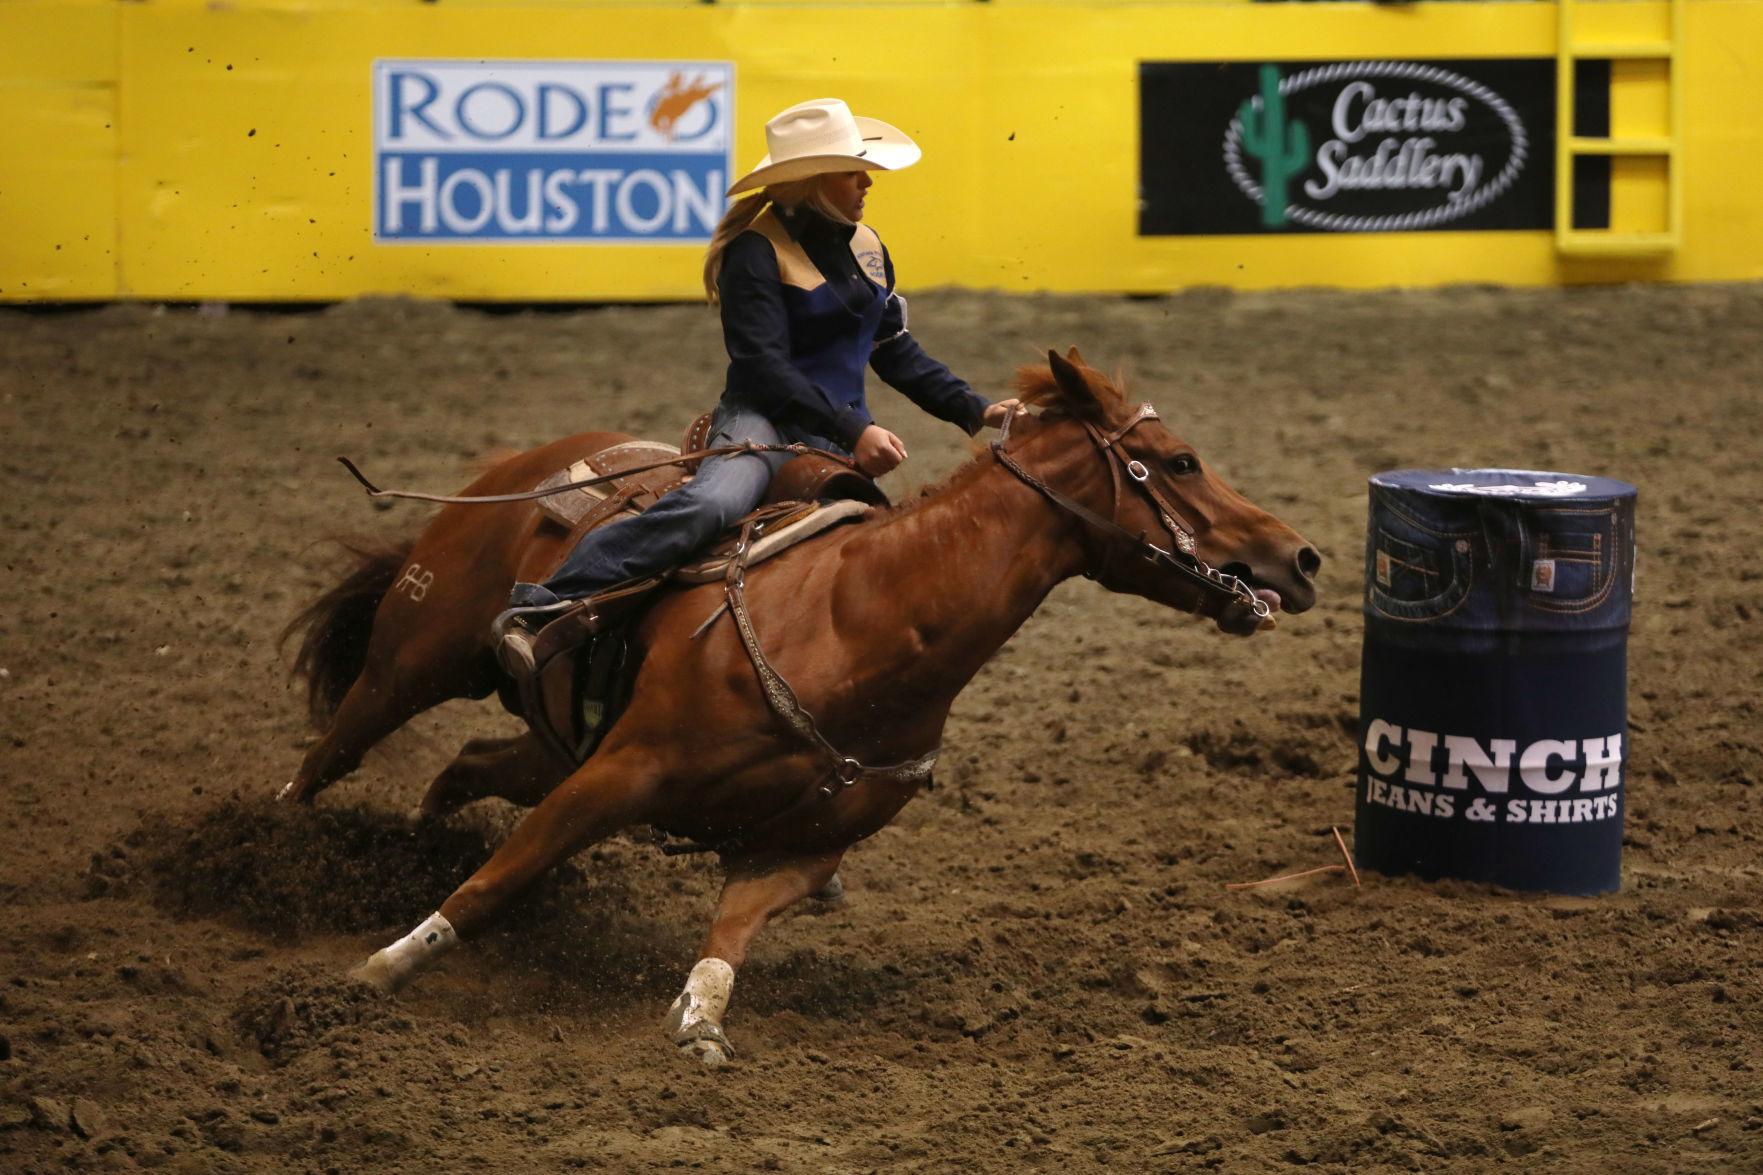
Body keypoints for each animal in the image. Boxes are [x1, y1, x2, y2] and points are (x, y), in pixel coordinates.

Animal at [282, 347, 1318, 1058]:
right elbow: (497, 878)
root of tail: (519, 463)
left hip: (551, 738)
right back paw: (276, 845)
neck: (860, 622)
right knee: (330, 755)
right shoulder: (622, 774)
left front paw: (699, 1021)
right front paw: (378, 971)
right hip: (413, 661)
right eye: (1179, 462)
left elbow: (727, 938)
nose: (1300, 558)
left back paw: (413, 841)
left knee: (466, 767)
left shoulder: (798, 846)